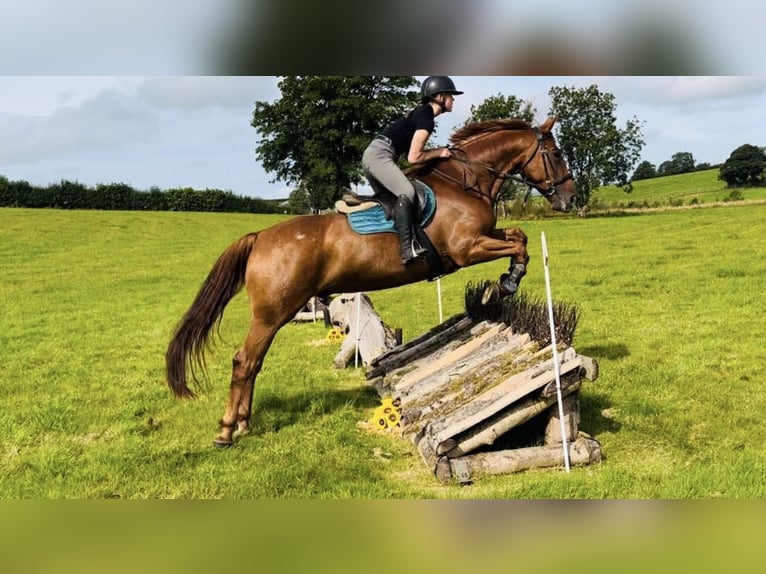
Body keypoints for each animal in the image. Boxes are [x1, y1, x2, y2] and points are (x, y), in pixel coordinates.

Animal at [165, 116, 576, 447]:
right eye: (557, 154)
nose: (570, 199)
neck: (465, 183)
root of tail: (260, 237)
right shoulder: (467, 249)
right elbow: (518, 245)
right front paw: (507, 283)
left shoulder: (484, 237)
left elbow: (519, 236)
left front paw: (502, 283)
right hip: (273, 312)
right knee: (244, 361)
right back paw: (225, 431)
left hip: (275, 313)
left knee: (253, 363)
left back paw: (244, 424)